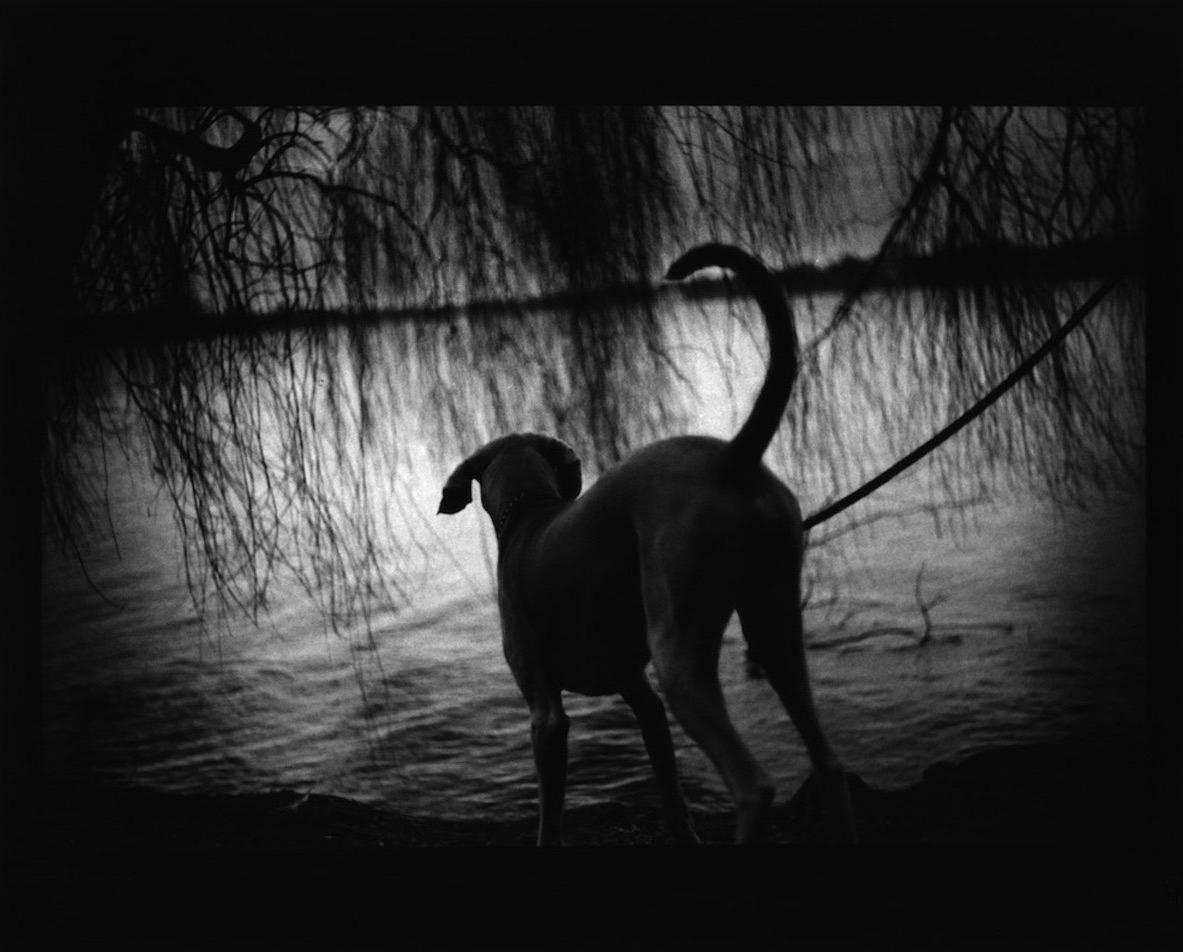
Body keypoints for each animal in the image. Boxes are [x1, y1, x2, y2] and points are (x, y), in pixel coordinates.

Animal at [440, 241, 856, 842]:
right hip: (774, 620)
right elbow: (670, 790)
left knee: (754, 786)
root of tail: (733, 458)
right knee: (828, 762)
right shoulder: (639, 692)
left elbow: (549, 815)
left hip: (680, 647)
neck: (530, 513)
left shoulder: (545, 712)